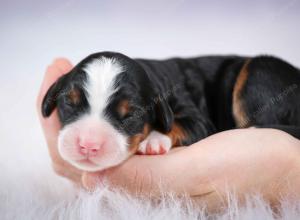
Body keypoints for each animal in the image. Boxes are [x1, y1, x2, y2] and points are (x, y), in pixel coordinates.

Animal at [42, 52, 300, 172]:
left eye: (131, 115)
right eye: (69, 103)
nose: (88, 145)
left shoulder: (198, 118)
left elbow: (178, 123)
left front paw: (154, 140)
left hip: (259, 71)